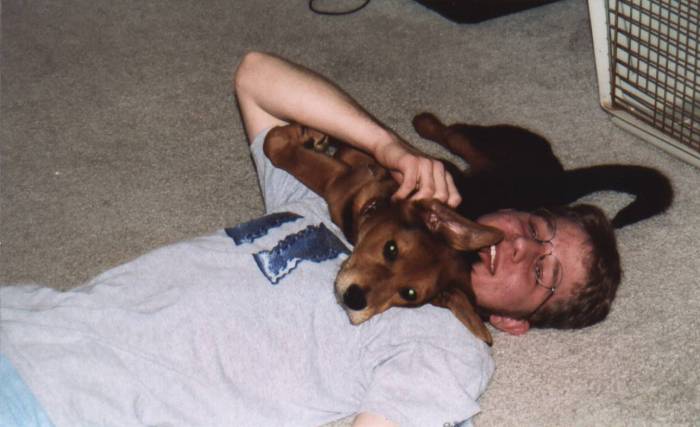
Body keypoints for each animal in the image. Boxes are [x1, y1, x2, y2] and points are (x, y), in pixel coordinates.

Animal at [263, 124, 503, 345]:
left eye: (409, 294)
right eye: (391, 248)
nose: (354, 299)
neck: (378, 201)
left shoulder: (338, 182)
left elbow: (277, 146)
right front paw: (310, 134)